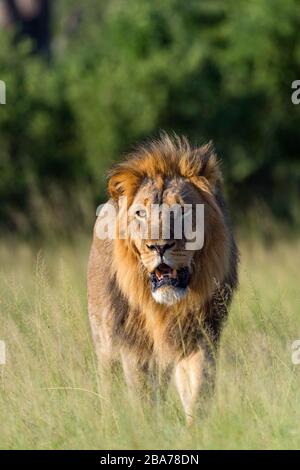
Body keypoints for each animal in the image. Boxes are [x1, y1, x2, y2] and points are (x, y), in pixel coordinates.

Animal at [87, 132, 239, 422]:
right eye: (141, 213)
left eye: (183, 211)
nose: (158, 247)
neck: (164, 308)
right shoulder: (134, 347)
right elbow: (144, 400)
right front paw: (149, 428)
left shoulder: (200, 336)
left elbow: (198, 394)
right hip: (106, 341)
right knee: (108, 386)